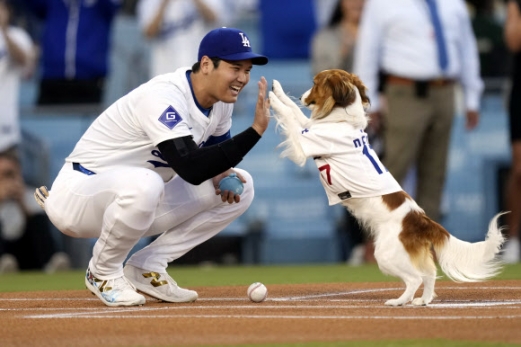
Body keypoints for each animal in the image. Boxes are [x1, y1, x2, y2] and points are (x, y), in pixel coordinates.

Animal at [268, 69, 504, 306]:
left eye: (315, 83)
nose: (302, 96)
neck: (343, 119)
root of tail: (421, 220)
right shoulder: (309, 128)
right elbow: (294, 111)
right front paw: (278, 91)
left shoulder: (303, 145)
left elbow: (289, 116)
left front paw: (272, 99)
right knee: (429, 274)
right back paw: (423, 300)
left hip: (385, 255)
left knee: (415, 278)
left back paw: (399, 301)